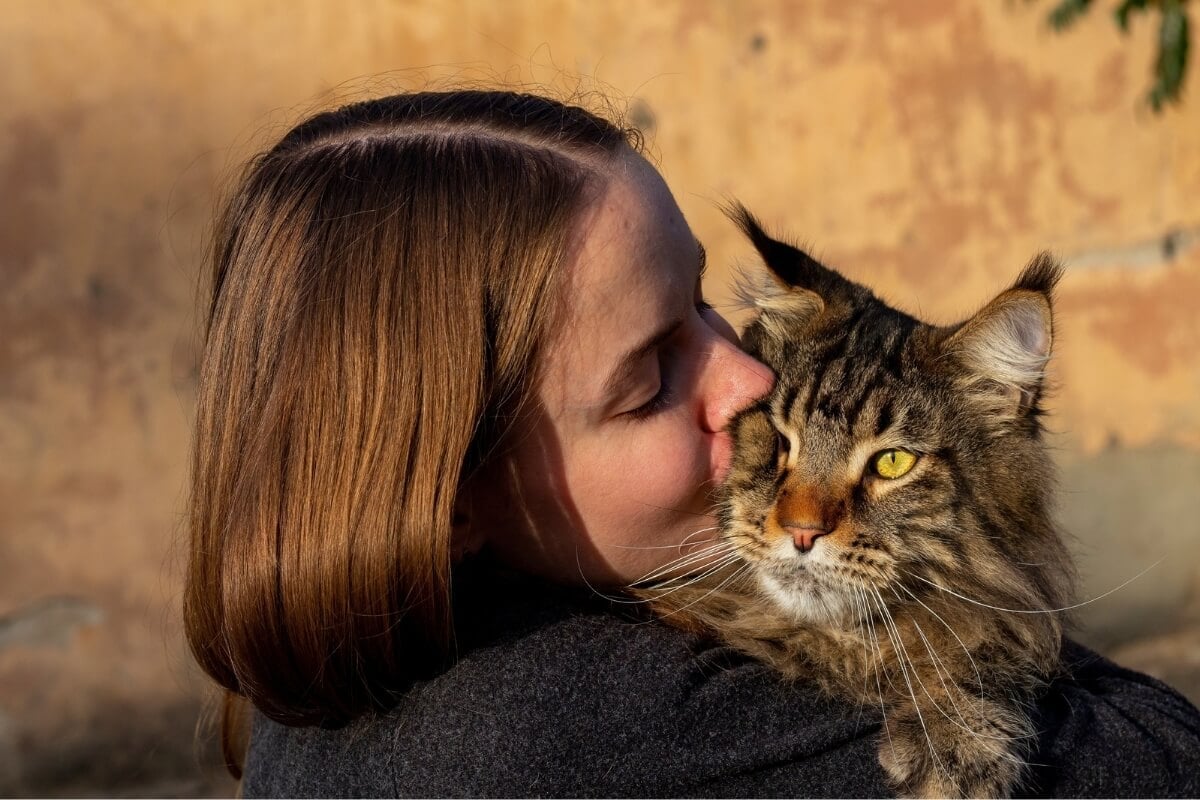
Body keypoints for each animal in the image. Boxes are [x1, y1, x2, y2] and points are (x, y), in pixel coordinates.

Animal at [648, 208, 1080, 800]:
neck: (843, 646)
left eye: (892, 462)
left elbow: (983, 647)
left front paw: (956, 737)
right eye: (780, 439)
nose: (802, 531)